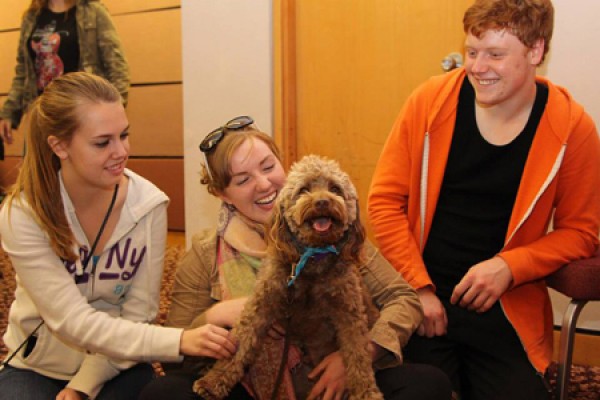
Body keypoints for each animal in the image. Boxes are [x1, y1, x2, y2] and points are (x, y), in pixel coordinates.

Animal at [192, 155, 382, 398]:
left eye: (335, 189)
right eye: (303, 190)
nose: (322, 202)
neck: (312, 259)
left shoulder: (349, 312)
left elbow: (358, 354)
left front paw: (367, 392)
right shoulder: (262, 303)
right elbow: (241, 340)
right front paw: (213, 381)